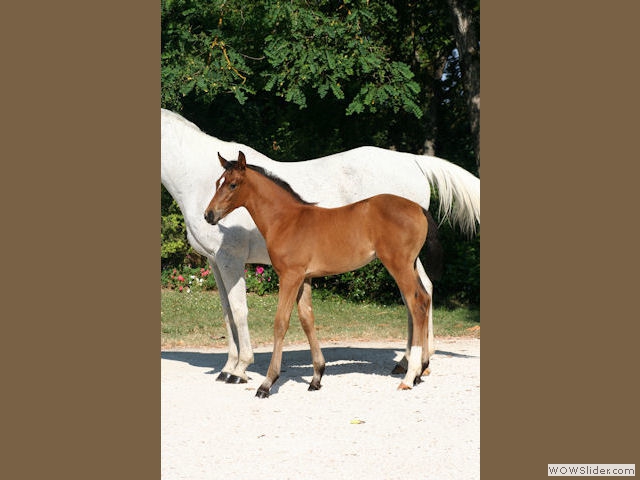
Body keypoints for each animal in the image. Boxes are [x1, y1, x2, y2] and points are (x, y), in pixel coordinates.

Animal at [161, 108, 480, 382]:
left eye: (231, 185)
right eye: (217, 183)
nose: (210, 215)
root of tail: (411, 161)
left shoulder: (232, 260)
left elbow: (239, 312)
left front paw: (240, 370)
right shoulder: (215, 262)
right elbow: (227, 314)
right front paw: (228, 367)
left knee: (419, 294)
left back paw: (415, 363)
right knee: (418, 293)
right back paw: (409, 363)